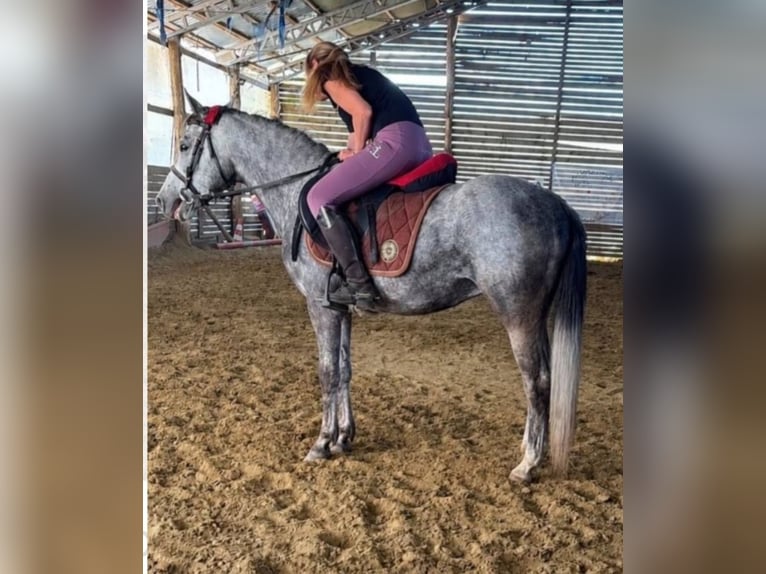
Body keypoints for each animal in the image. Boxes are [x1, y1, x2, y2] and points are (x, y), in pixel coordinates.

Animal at [155, 94, 586, 483]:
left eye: (184, 144)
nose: (164, 200)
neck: (295, 191)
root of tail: (555, 203)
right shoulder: (340, 307)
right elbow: (345, 369)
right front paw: (344, 437)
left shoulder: (321, 307)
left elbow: (327, 372)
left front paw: (321, 443)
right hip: (535, 316)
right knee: (543, 379)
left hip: (518, 315)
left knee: (537, 380)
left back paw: (527, 465)